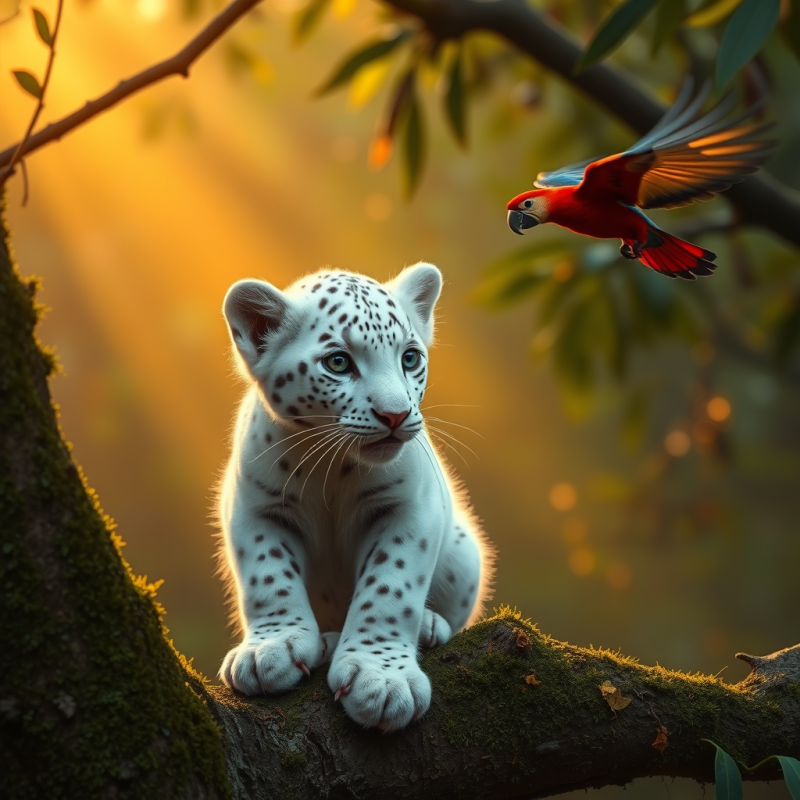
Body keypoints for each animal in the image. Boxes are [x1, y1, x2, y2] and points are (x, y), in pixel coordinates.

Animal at [217, 262, 494, 731]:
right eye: (338, 362)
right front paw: (269, 651)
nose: (395, 415)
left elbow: (390, 587)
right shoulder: (256, 509)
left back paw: (428, 626)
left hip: (463, 556)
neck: (333, 468)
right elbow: (268, 577)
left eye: (409, 358)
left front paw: (381, 682)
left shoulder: (408, 509)